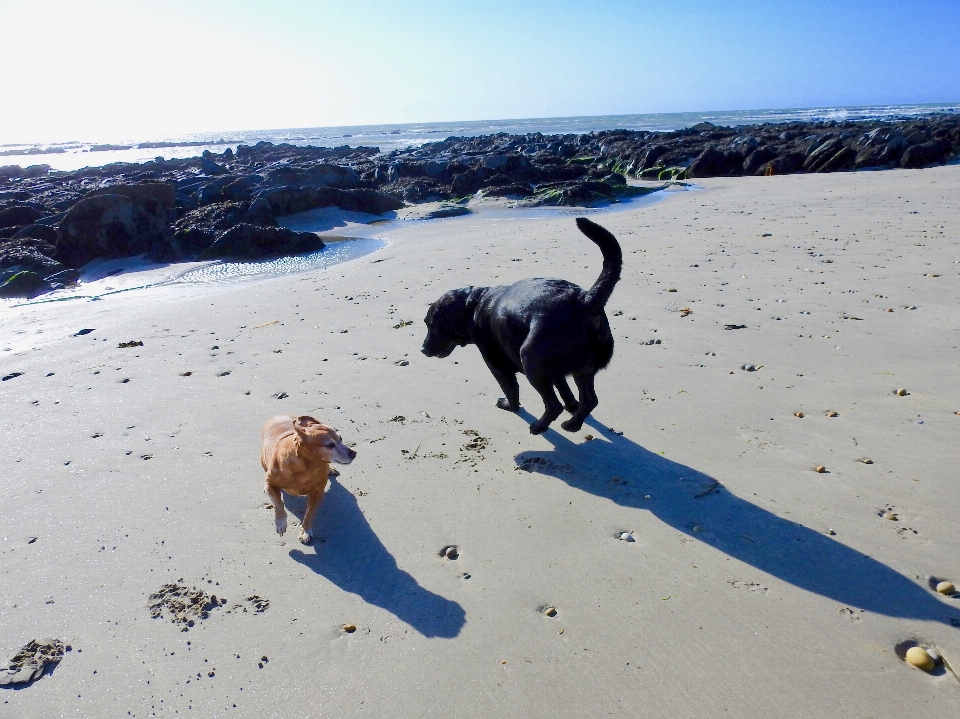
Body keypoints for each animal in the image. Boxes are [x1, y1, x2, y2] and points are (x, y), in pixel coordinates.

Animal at [258, 416, 356, 544]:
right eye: (330, 445)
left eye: (341, 438)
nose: (354, 453)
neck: (308, 466)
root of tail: (278, 415)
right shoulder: (270, 483)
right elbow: (278, 503)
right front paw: (280, 523)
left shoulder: (317, 492)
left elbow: (310, 513)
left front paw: (305, 531)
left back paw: (330, 469)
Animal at [422, 217, 624, 436]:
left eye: (433, 326)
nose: (422, 349)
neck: (474, 305)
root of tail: (585, 300)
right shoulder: (557, 373)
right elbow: (565, 390)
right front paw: (572, 406)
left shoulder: (498, 367)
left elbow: (511, 391)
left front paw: (509, 406)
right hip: (582, 369)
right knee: (589, 400)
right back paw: (573, 423)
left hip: (530, 361)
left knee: (553, 405)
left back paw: (539, 426)